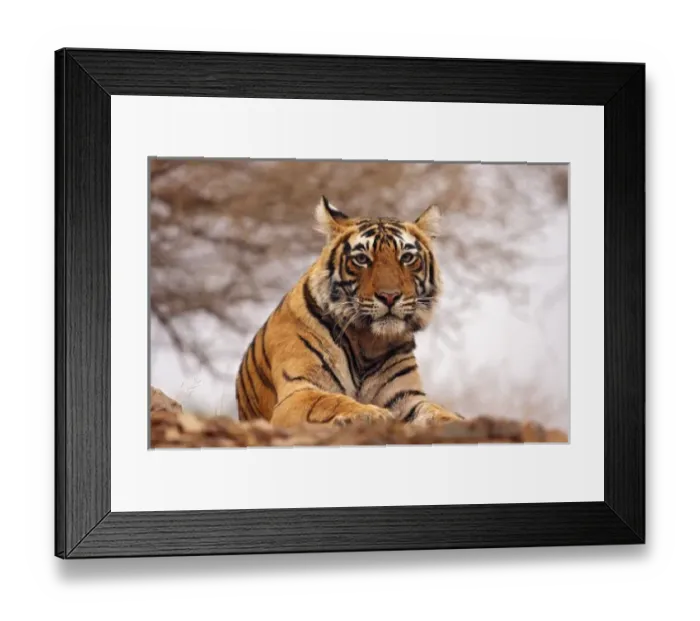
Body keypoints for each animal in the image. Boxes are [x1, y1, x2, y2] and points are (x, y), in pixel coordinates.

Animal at [234, 196, 464, 427]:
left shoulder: (406, 396)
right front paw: (370, 413)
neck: (368, 342)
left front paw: (454, 419)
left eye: (407, 257)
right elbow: (331, 401)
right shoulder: (298, 392)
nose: (389, 296)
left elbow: (434, 410)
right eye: (361, 259)